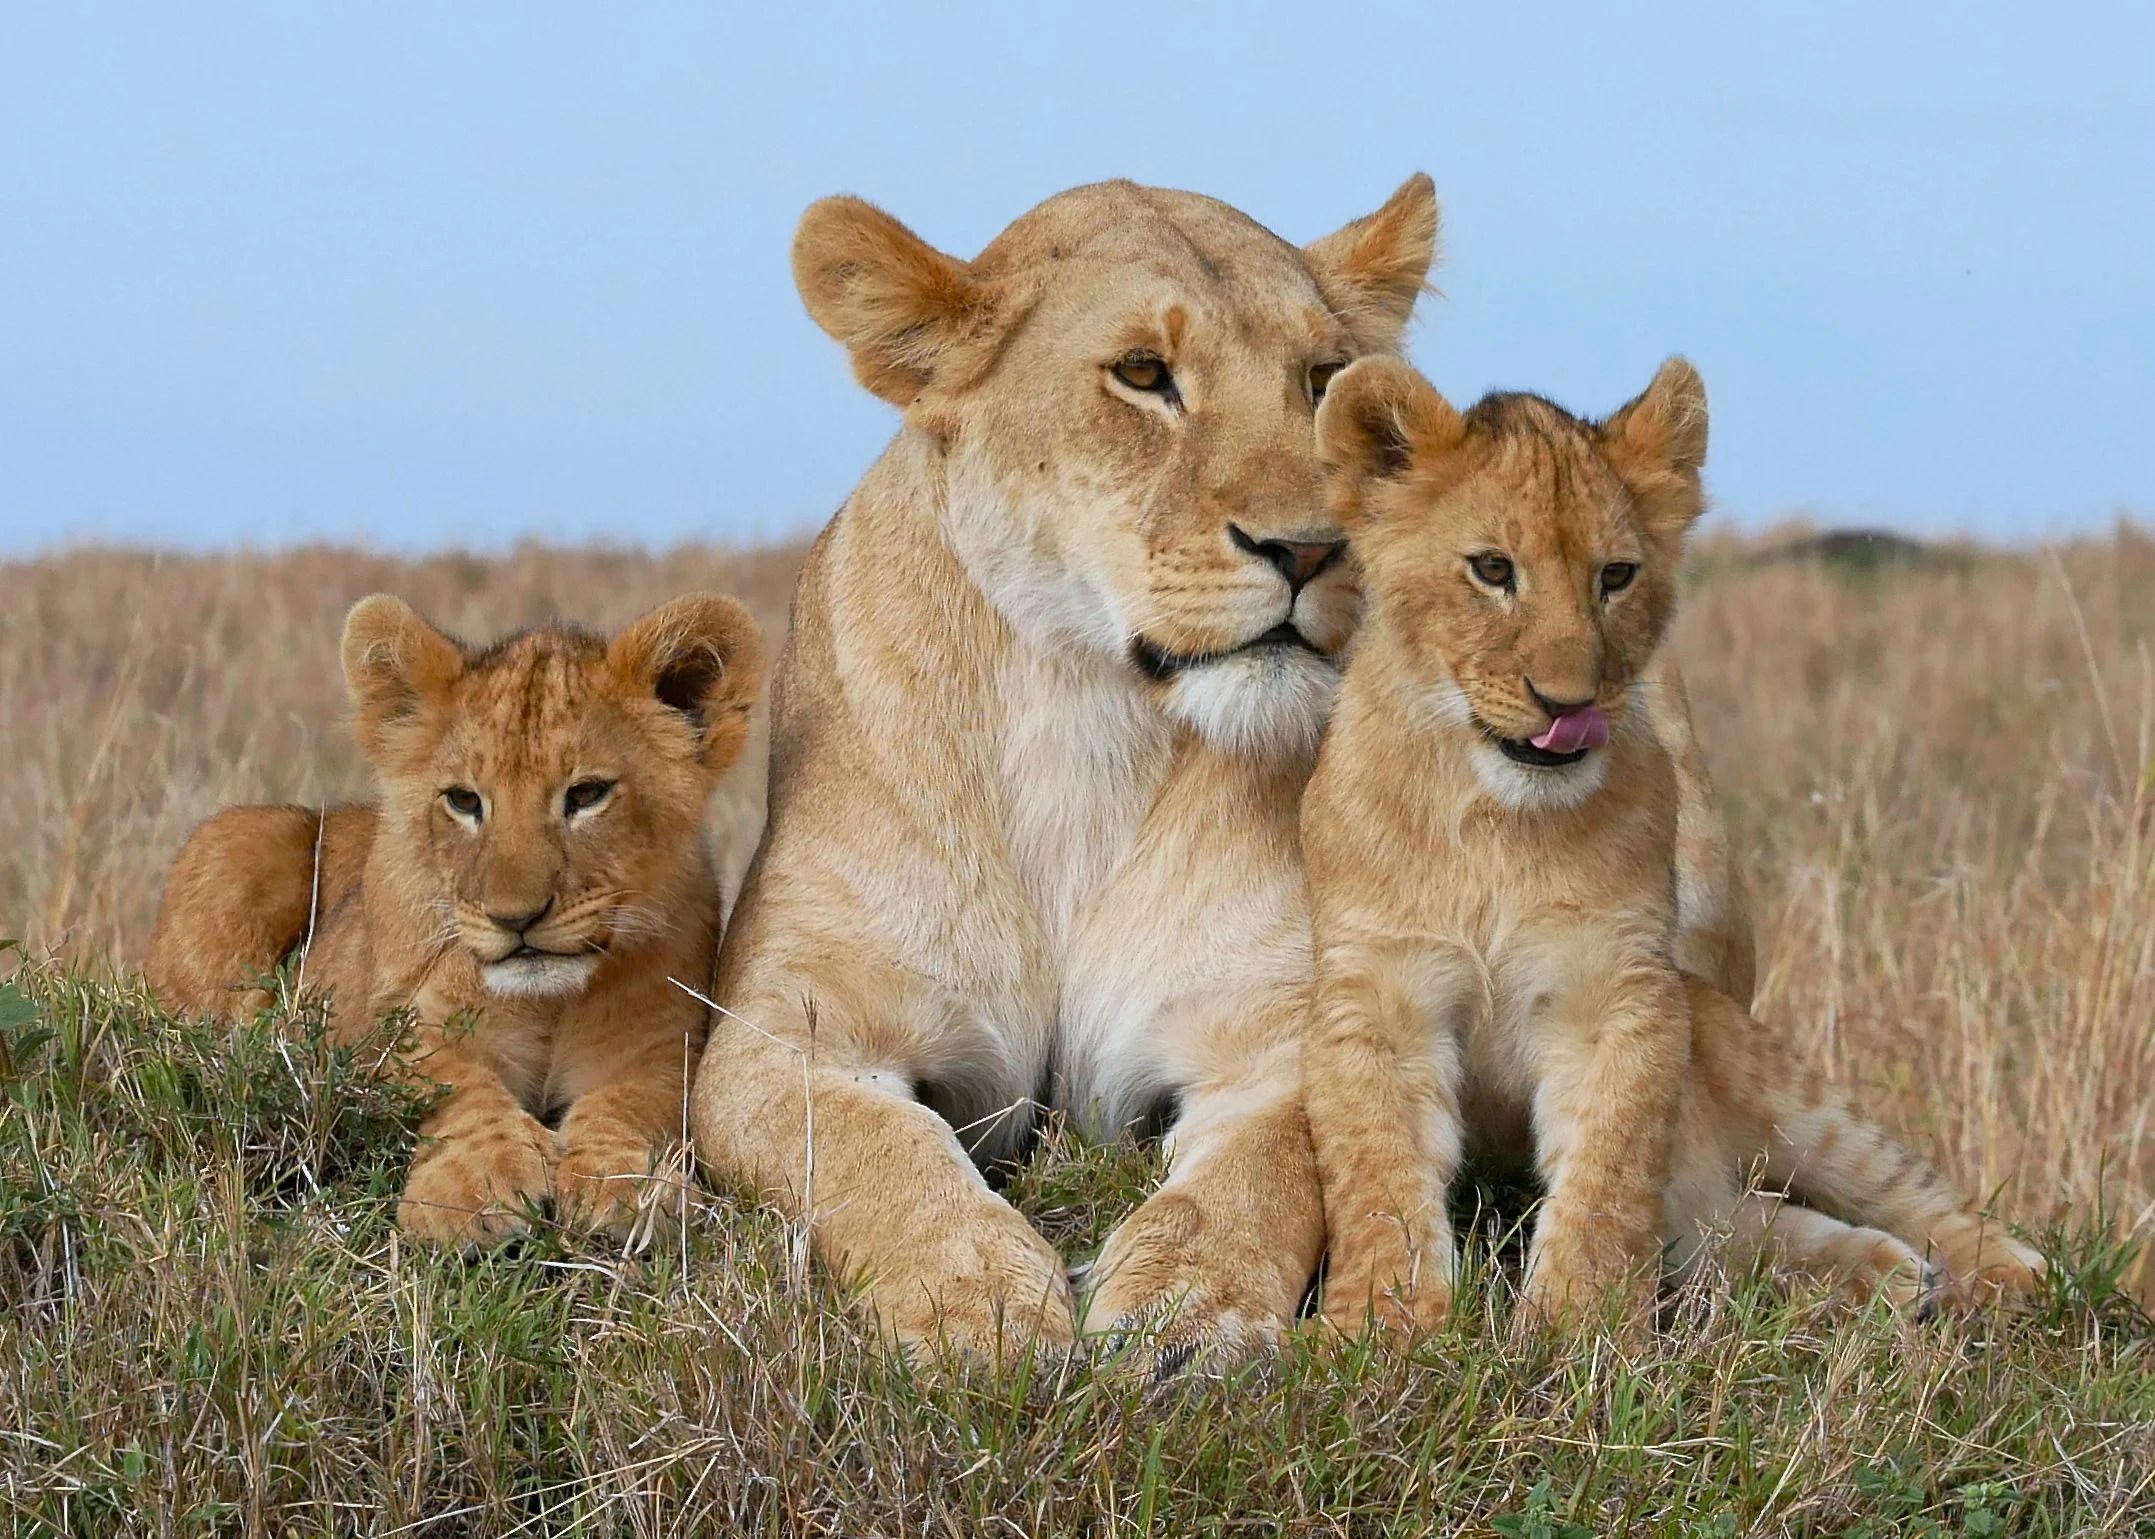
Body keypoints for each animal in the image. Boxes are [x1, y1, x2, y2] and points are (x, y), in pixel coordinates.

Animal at [145, 592, 765, 1247]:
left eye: (587, 794)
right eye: (464, 801)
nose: (516, 918)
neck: (550, 1004)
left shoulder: (663, 1043)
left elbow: (636, 1103)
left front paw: (622, 1183)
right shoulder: (395, 1022)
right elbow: (450, 1084)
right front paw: (477, 1185)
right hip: (240, 838)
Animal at [1299, 353, 2044, 1330]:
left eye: (1615, 575)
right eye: (1492, 568)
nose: (1567, 703)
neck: (1496, 819)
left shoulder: (1619, 994)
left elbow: (1606, 1178)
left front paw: (1573, 1329)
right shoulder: (1379, 995)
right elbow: (1378, 1173)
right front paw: (1384, 1325)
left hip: (1768, 1075)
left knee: (1899, 1183)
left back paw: (2004, 1271)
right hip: (1717, 1197)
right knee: (1734, 1226)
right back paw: (1884, 1274)